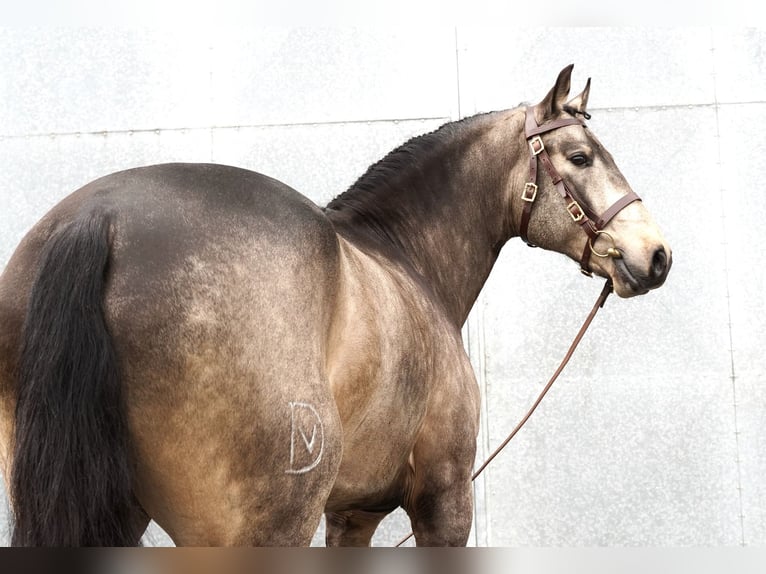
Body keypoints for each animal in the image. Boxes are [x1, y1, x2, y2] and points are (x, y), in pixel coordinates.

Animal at [0, 64, 671, 546]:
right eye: (581, 157)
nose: (656, 254)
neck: (404, 259)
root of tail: (100, 219)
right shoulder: (445, 496)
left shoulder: (353, 513)